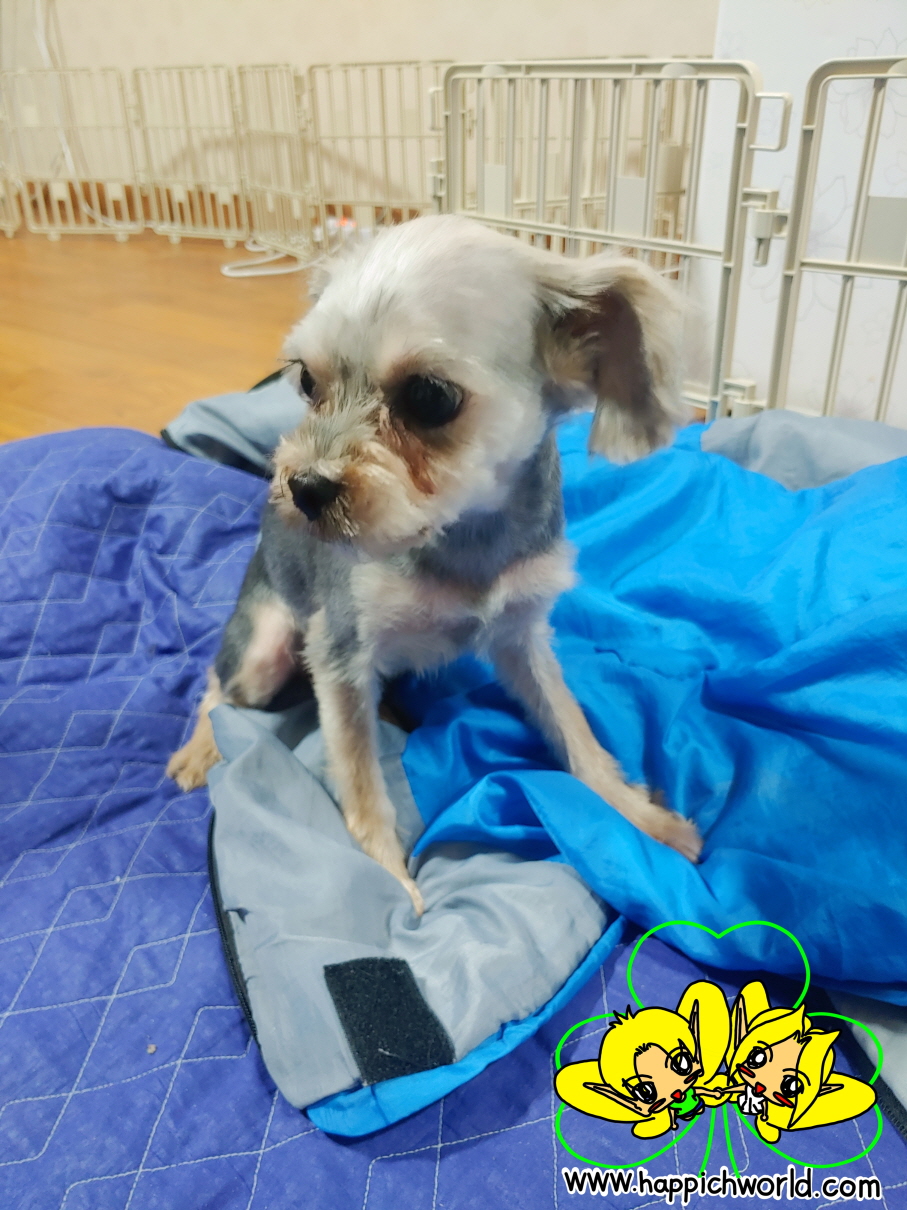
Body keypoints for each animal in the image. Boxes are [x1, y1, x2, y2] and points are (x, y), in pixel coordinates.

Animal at [167, 214, 702, 914]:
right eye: (307, 381)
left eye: (429, 397)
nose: (304, 488)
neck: (461, 533)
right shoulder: (339, 656)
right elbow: (364, 788)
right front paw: (388, 882)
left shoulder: (521, 636)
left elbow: (576, 732)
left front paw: (639, 817)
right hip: (264, 652)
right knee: (219, 685)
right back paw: (201, 747)